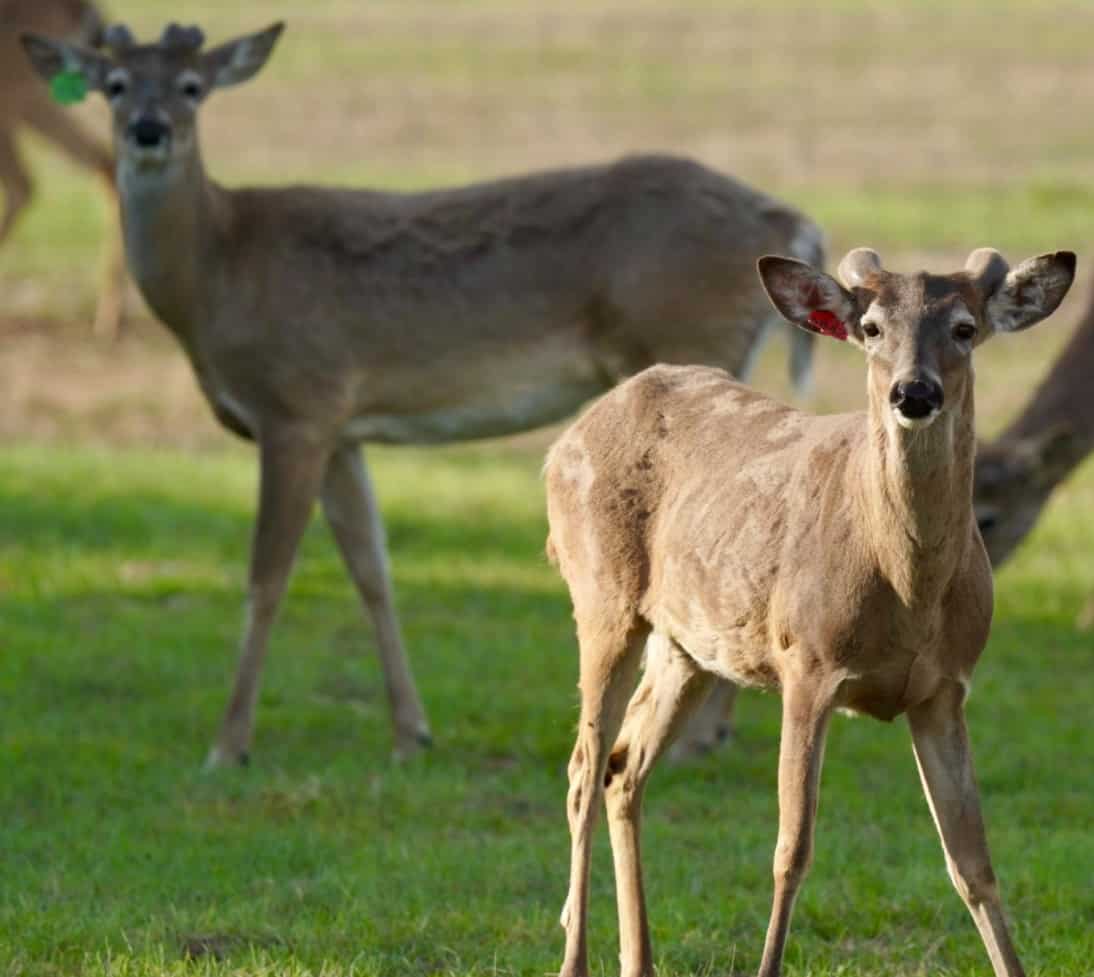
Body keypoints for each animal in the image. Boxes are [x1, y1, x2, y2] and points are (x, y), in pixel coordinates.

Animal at [20, 20, 825, 768]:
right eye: (114, 84)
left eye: (192, 86)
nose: (149, 130)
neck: (218, 270)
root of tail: (789, 222)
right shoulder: (341, 427)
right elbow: (370, 568)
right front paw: (411, 732)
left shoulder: (296, 400)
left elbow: (266, 576)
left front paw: (229, 744)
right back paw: (709, 731)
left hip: (686, 336)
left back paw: (703, 736)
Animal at [544, 246, 1076, 977]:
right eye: (873, 329)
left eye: (965, 328)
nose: (913, 393)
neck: (908, 591)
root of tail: (563, 441)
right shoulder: (807, 663)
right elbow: (791, 848)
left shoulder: (945, 689)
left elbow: (973, 861)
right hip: (603, 601)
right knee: (581, 769)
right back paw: (574, 957)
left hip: (688, 646)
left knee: (624, 769)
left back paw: (640, 959)